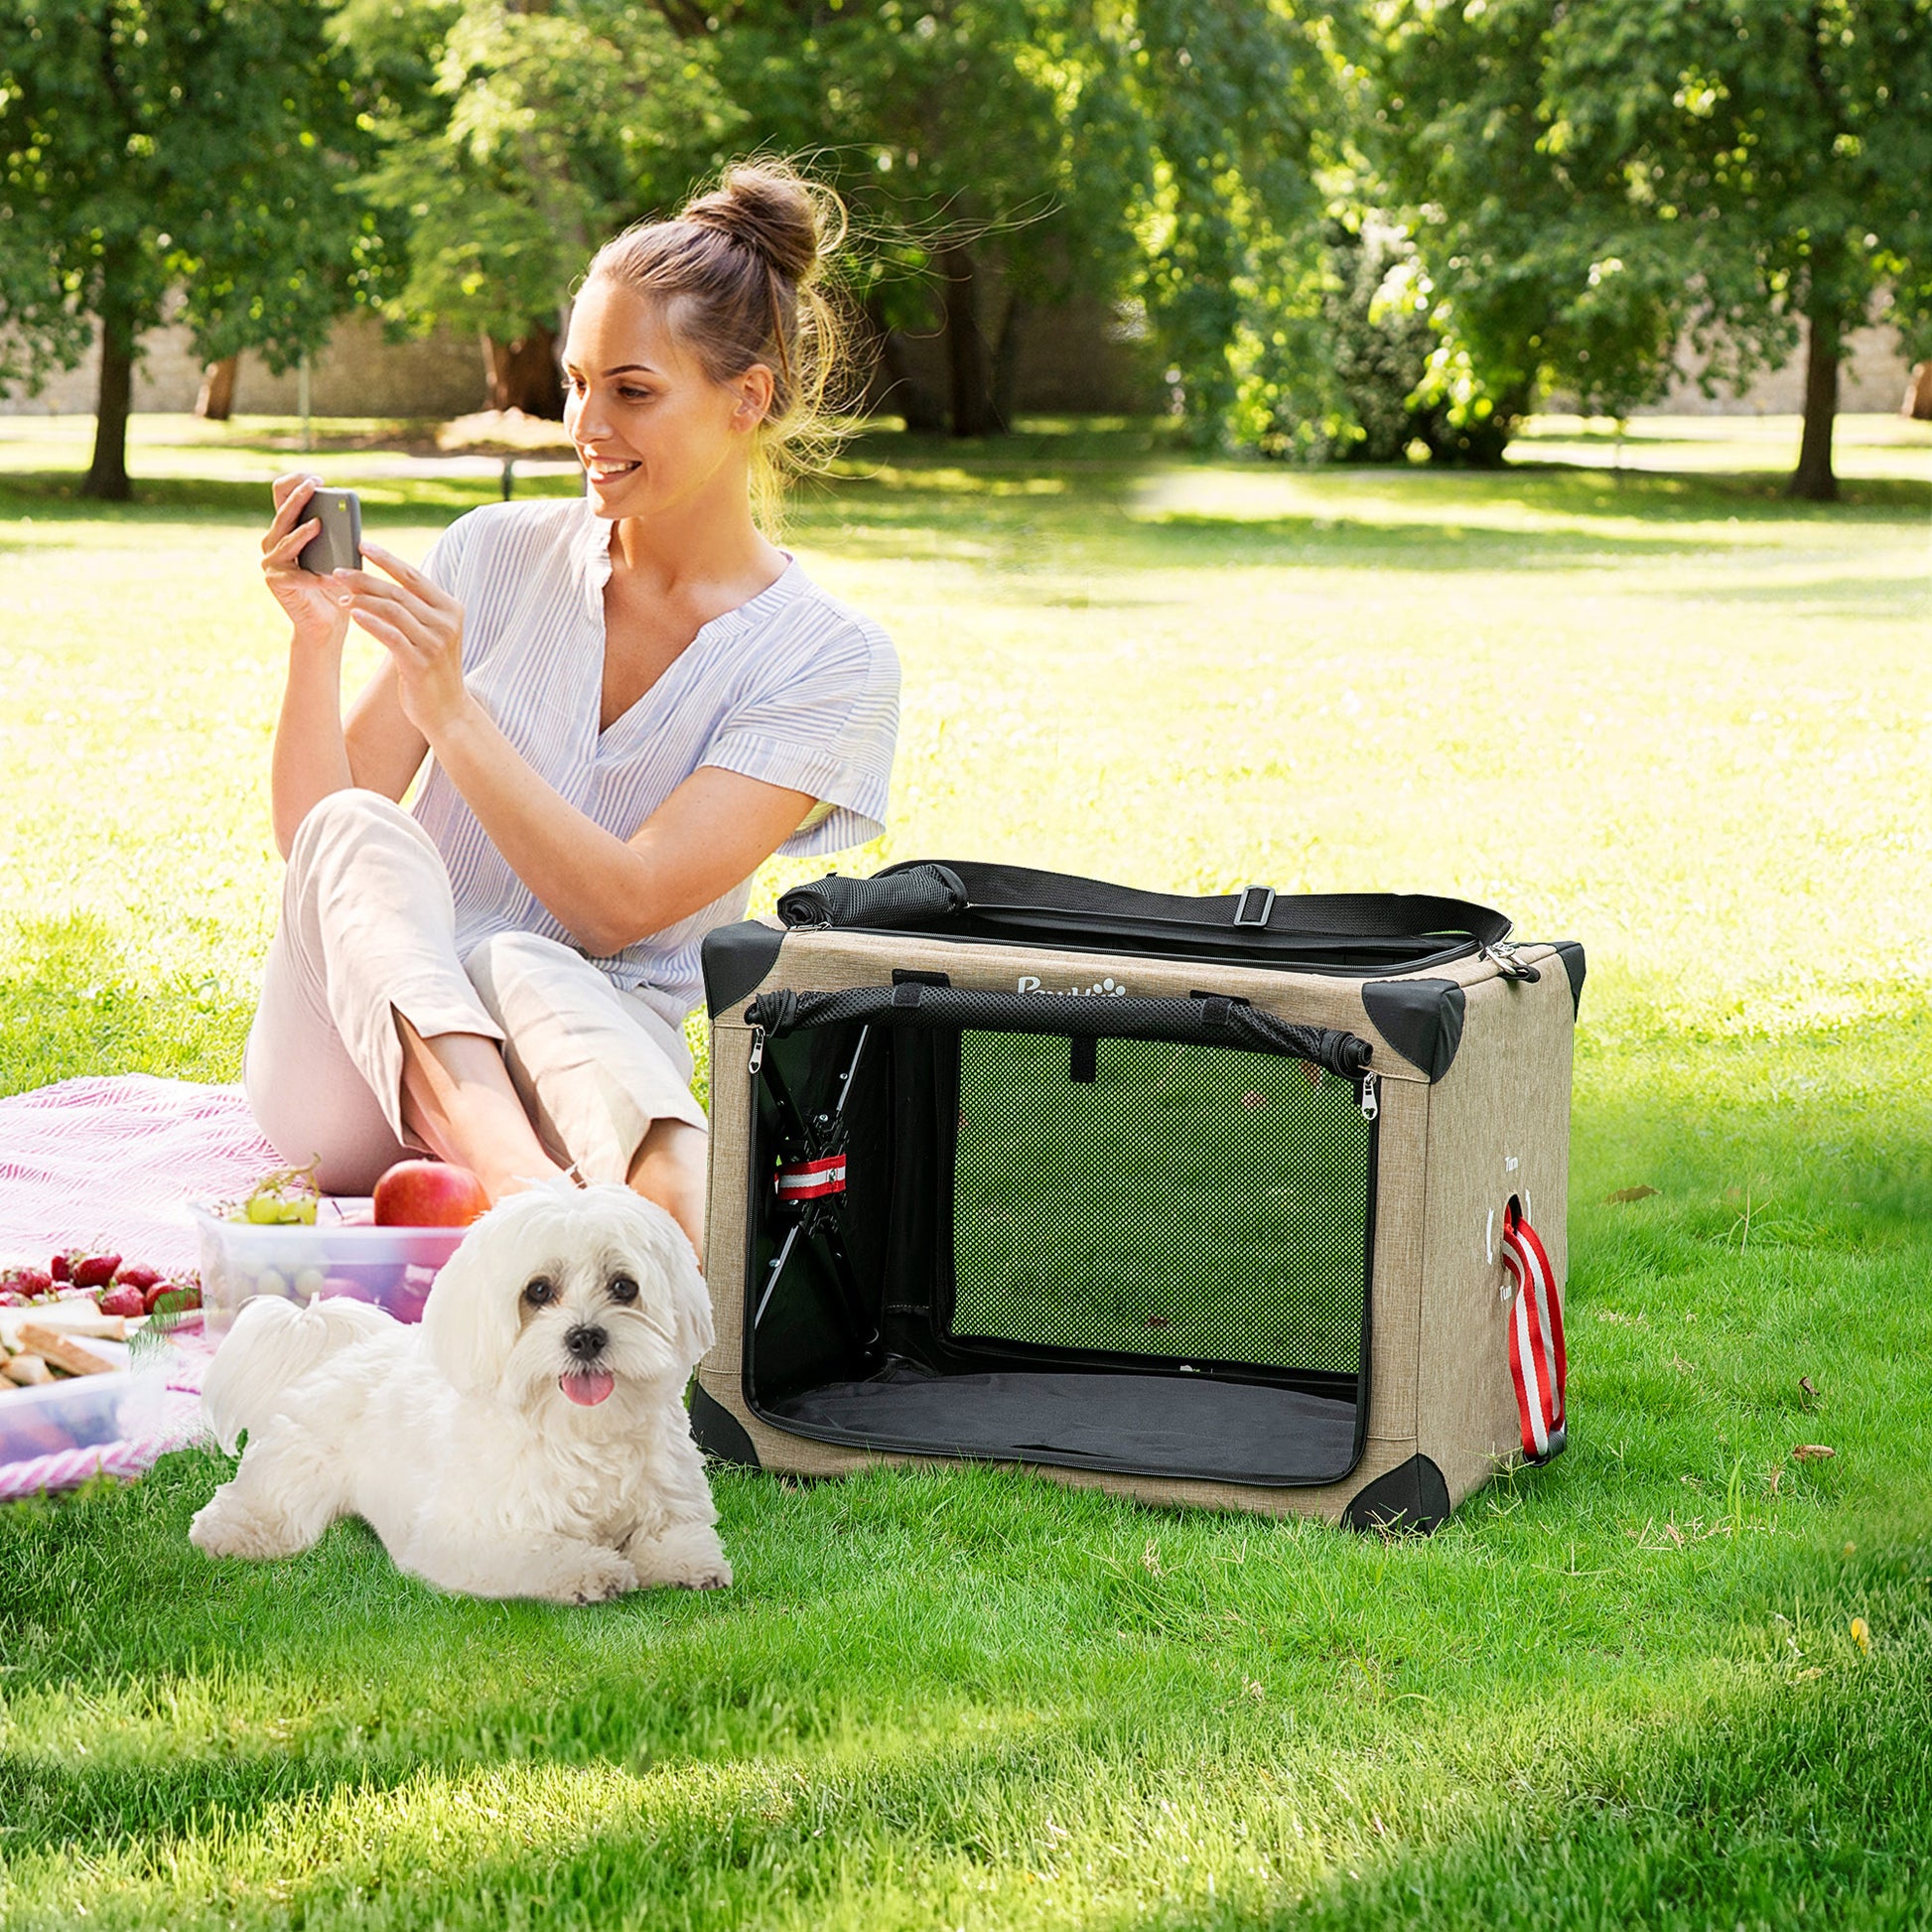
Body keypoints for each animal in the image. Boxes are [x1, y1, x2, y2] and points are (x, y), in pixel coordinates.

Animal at [188, 1174, 730, 1599]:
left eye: (624, 1286)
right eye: (538, 1290)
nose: (586, 1337)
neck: (579, 1430)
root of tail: (331, 1340)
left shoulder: (669, 1502)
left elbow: (673, 1537)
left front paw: (687, 1564)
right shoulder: (462, 1537)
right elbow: (538, 1552)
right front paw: (591, 1569)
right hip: (297, 1473)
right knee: (266, 1505)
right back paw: (229, 1532)